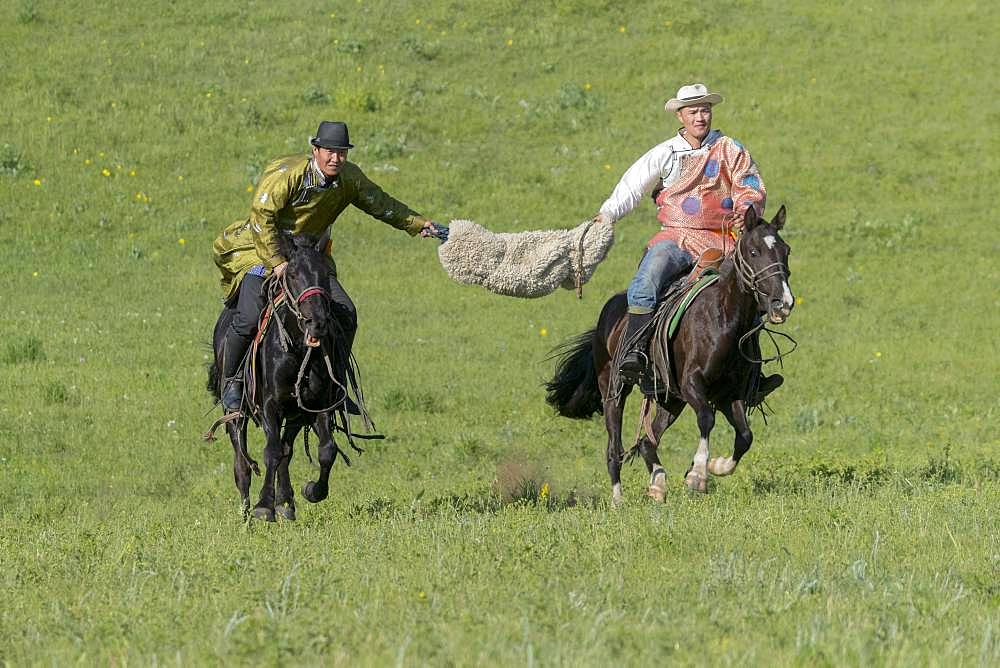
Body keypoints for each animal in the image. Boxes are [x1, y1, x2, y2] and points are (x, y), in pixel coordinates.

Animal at [205, 235, 362, 520]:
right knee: (242, 463)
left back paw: (285, 503)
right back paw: (247, 513)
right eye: (292, 274)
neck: (298, 349)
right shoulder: (270, 405)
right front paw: (263, 506)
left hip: (295, 415)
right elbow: (272, 452)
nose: (317, 322)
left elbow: (326, 450)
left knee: (287, 451)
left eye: (325, 274)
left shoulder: (318, 406)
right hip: (236, 413)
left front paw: (311, 491)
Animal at [544, 206, 792, 504]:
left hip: (670, 397)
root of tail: (609, 312)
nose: (783, 303)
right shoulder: (692, 384)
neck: (722, 317)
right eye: (754, 251)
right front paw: (698, 474)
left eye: (786, 251)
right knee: (614, 447)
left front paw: (716, 465)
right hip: (614, 390)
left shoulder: (728, 393)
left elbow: (745, 435)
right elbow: (706, 419)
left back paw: (658, 484)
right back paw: (618, 499)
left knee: (646, 442)